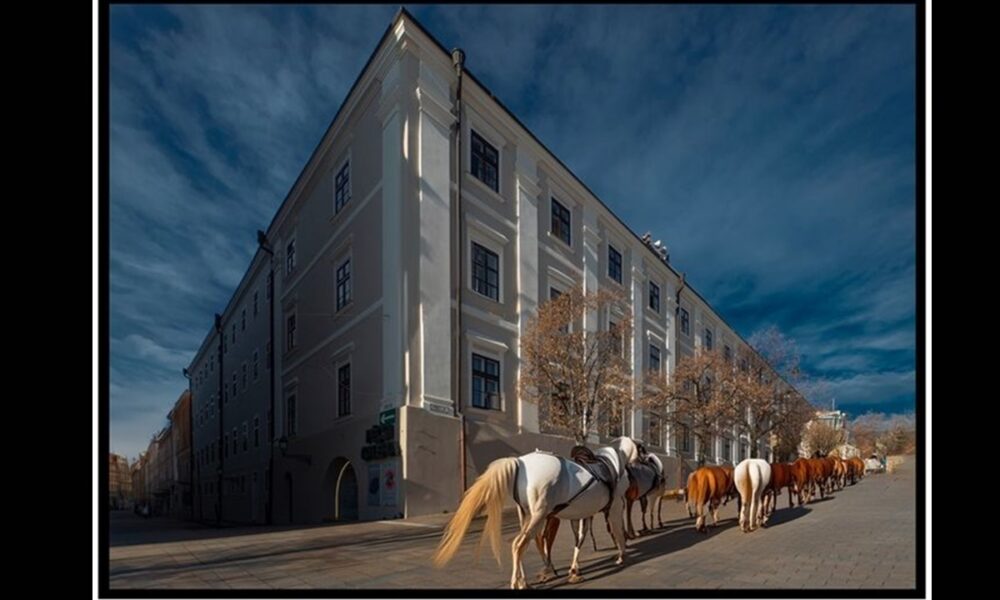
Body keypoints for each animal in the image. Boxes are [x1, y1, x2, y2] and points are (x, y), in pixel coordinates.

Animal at [434, 446, 628, 592]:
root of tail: (519, 462)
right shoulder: (614, 508)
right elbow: (617, 532)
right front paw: (620, 557)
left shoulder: (581, 514)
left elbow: (579, 538)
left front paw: (574, 571)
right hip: (538, 517)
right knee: (518, 544)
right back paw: (517, 583)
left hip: (527, 516)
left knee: (523, 545)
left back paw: (524, 582)